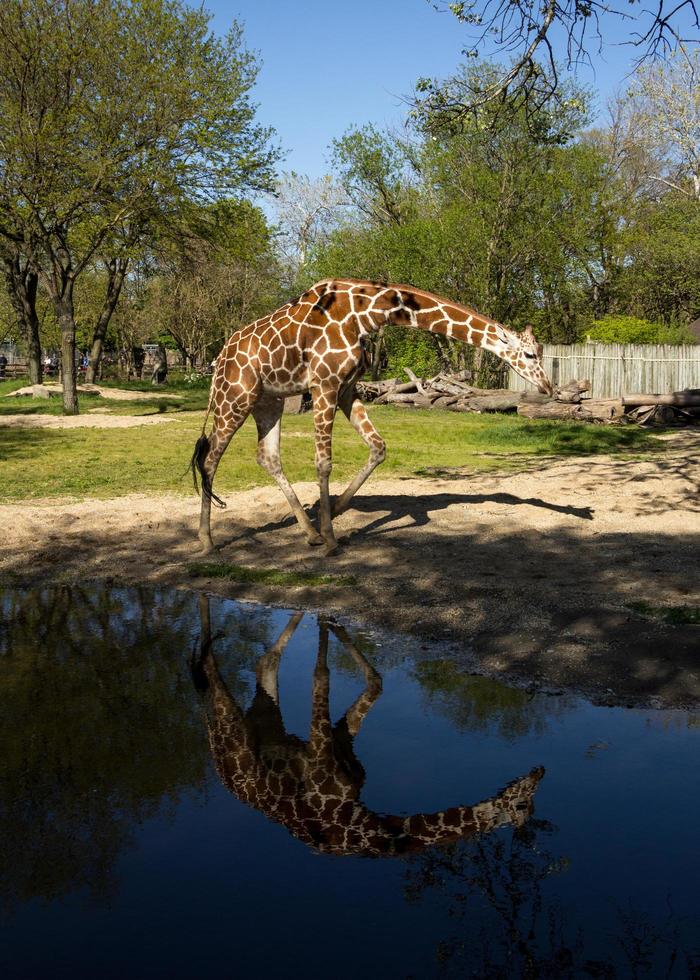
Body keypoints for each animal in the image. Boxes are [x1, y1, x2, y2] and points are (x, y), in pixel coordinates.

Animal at [191, 280, 552, 556]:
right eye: (530, 353)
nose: (547, 387)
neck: (365, 315)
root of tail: (219, 359)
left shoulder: (347, 388)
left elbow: (378, 447)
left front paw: (334, 510)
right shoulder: (324, 385)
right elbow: (324, 463)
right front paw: (332, 540)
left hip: (268, 400)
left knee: (267, 456)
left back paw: (309, 533)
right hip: (236, 397)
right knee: (210, 458)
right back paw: (207, 541)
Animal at [193, 592, 548, 852]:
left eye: (532, 804)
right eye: (521, 805)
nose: (539, 771)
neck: (368, 828)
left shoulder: (341, 741)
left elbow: (375, 680)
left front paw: (328, 619)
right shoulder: (322, 755)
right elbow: (322, 673)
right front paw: (326, 623)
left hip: (266, 719)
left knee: (266, 662)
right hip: (228, 723)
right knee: (210, 668)